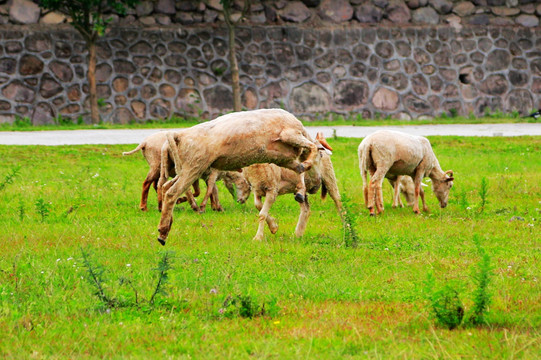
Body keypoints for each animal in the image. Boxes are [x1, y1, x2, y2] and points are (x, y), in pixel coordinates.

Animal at [159, 108, 320, 246]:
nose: (316, 187)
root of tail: (178, 135)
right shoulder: (289, 134)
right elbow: (311, 150)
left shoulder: (284, 159)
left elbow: (299, 168)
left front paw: (274, 226)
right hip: (194, 166)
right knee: (171, 193)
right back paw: (162, 233)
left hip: (186, 168)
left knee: (167, 187)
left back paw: (166, 226)